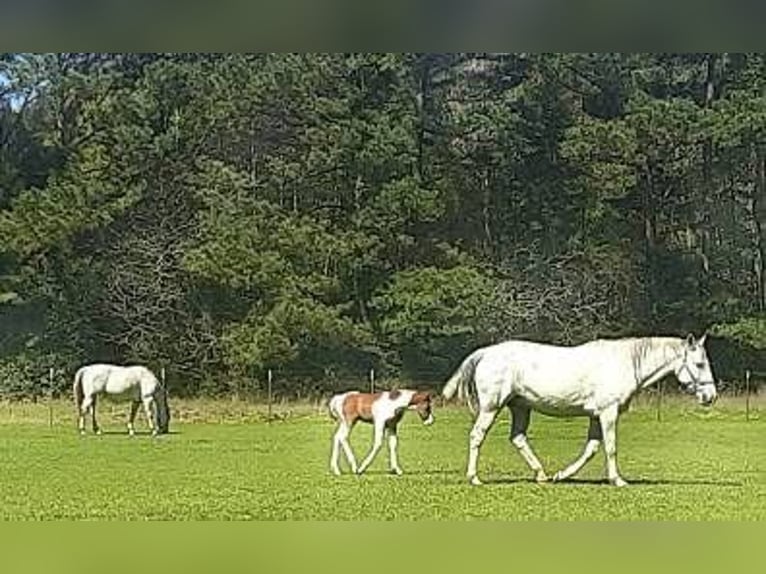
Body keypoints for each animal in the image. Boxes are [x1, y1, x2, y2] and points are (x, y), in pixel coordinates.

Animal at [444, 336, 720, 488]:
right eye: (699, 364)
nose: (710, 396)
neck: (627, 362)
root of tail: (486, 352)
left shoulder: (596, 416)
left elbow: (591, 449)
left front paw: (561, 475)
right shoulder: (608, 413)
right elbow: (611, 447)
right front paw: (617, 480)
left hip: (521, 407)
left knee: (518, 438)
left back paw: (542, 475)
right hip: (491, 407)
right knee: (477, 436)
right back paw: (474, 477)